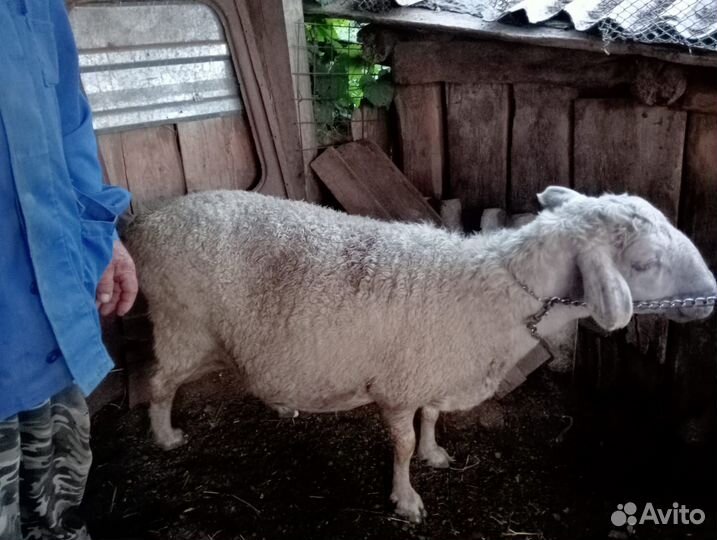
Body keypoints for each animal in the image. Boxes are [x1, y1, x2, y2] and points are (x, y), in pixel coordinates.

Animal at [124, 186, 715, 523]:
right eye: (645, 262)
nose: (710, 292)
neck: (493, 290)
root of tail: (145, 221)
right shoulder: (398, 386)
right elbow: (403, 444)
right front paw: (406, 499)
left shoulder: (434, 369)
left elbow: (431, 420)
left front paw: (435, 454)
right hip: (181, 324)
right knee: (159, 382)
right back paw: (164, 435)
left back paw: (280, 404)